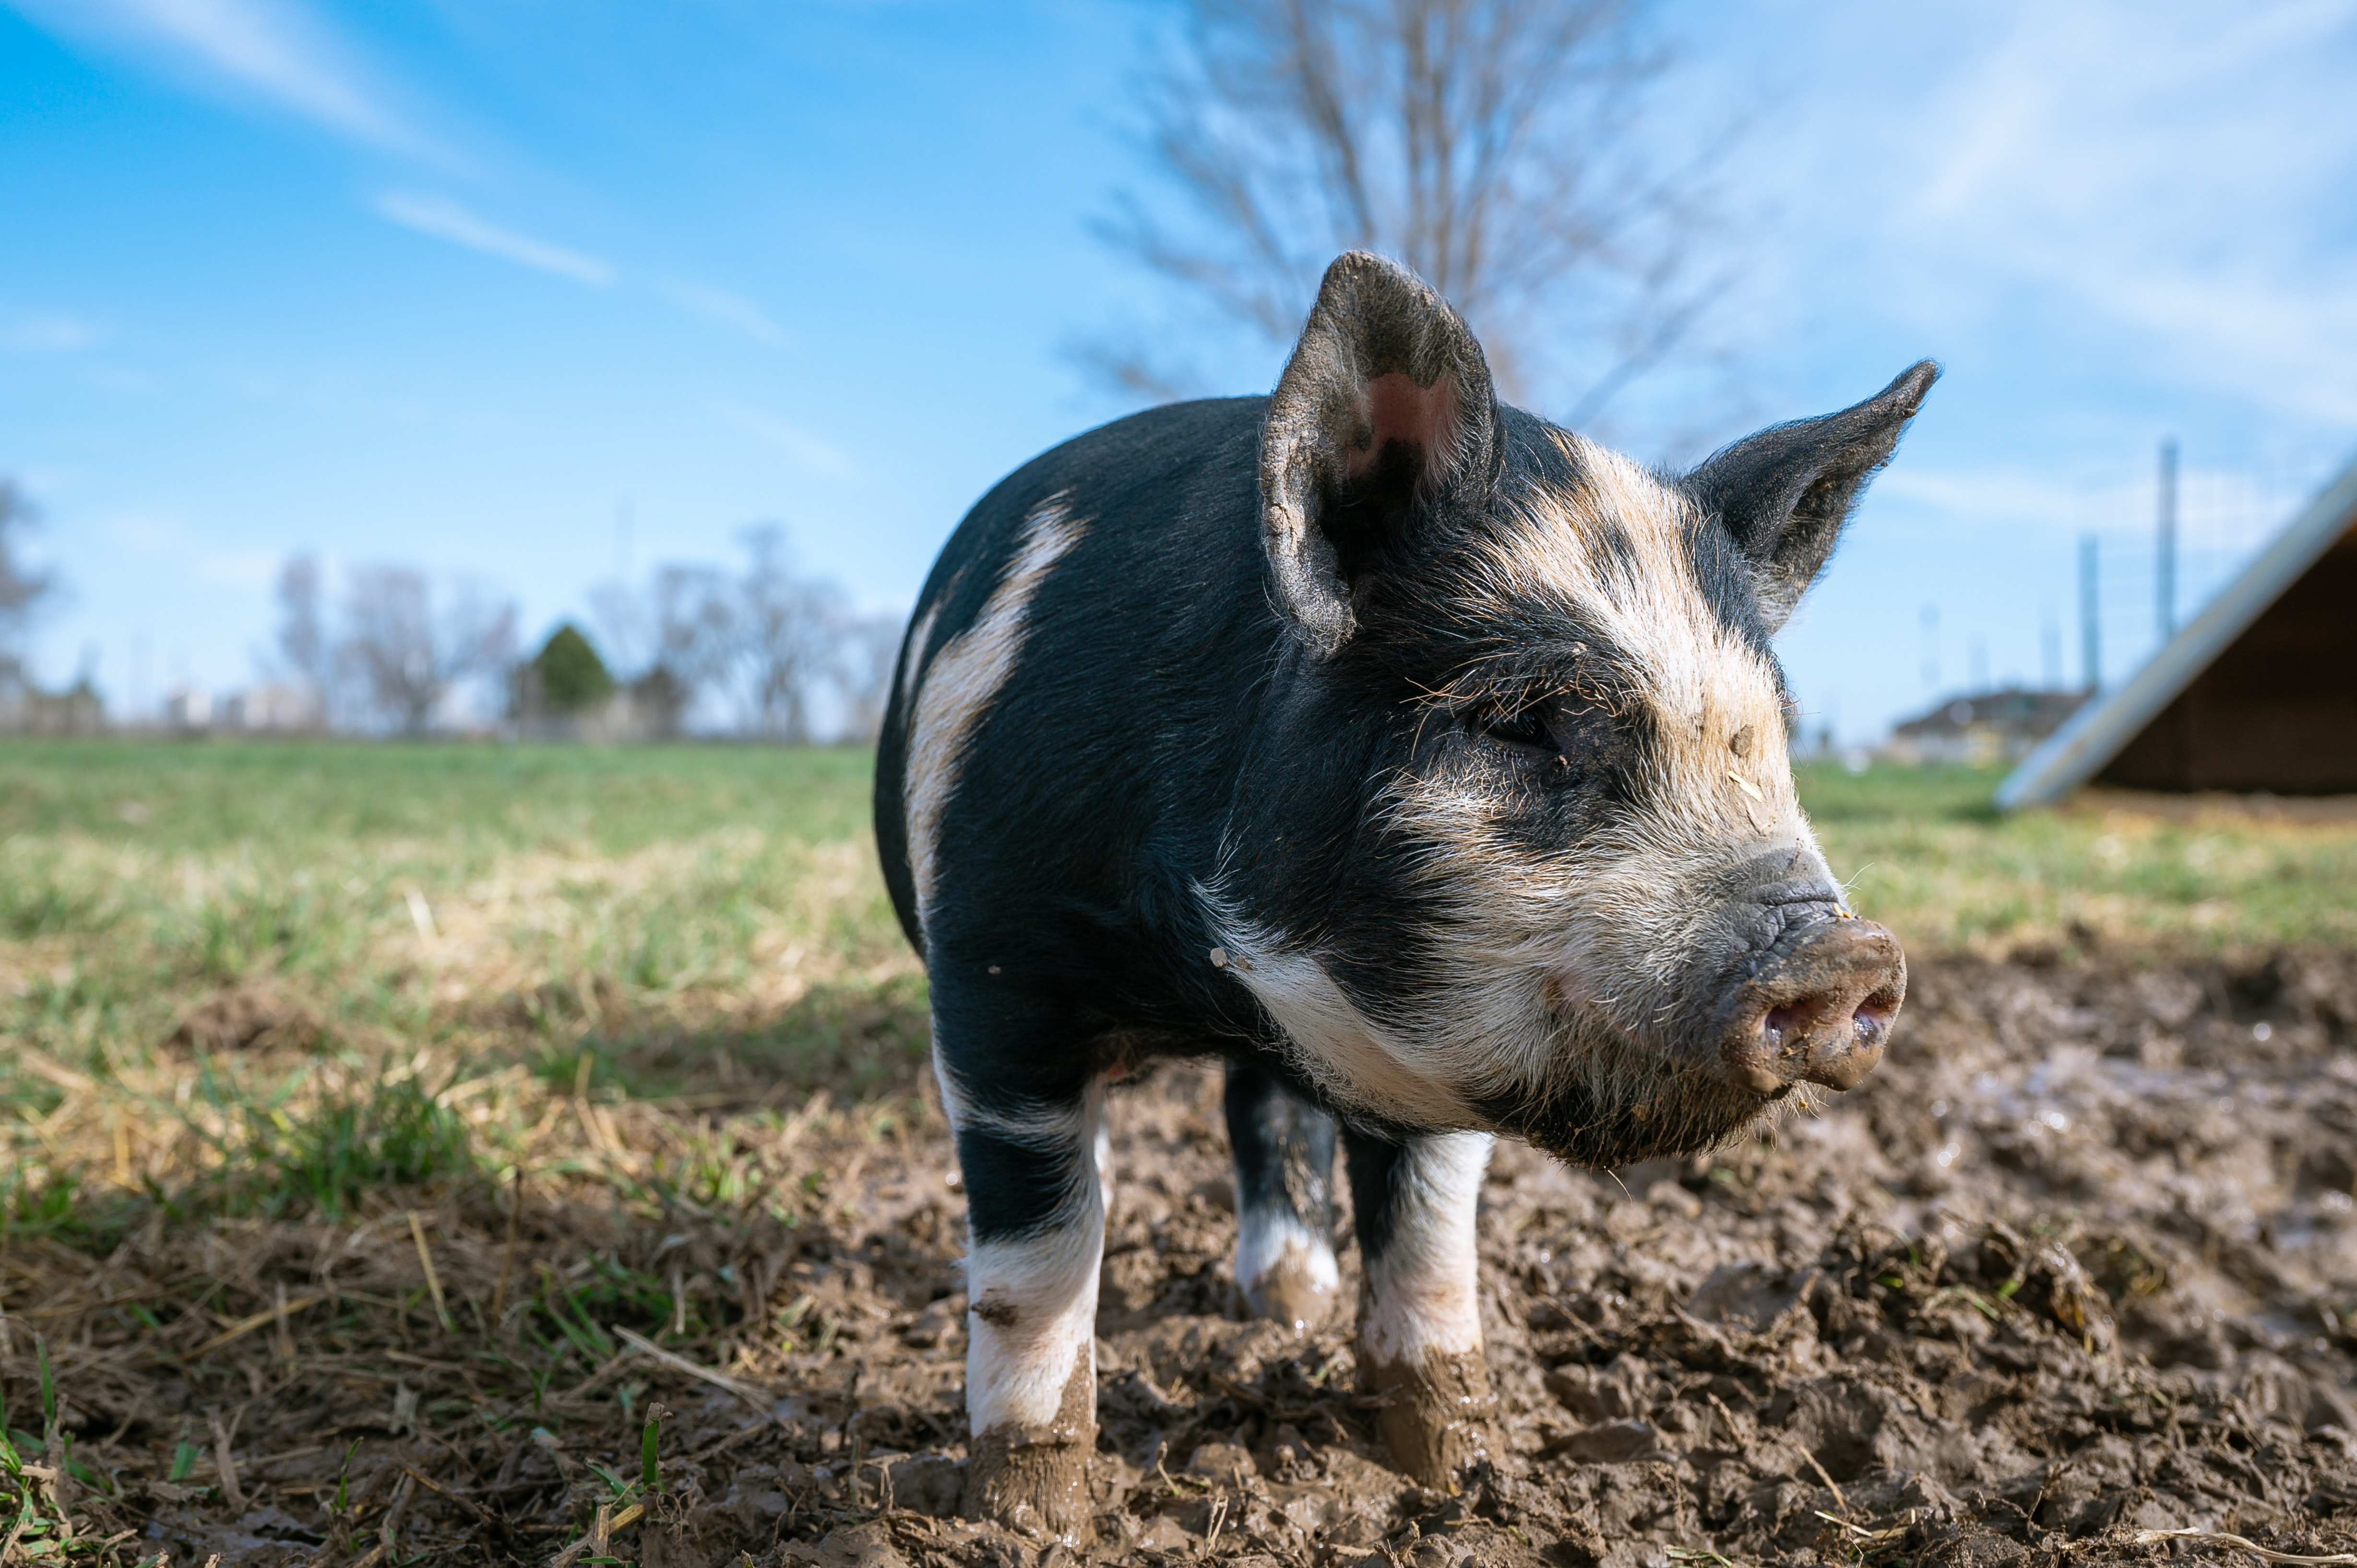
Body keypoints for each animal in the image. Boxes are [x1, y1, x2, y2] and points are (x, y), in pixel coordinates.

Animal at [872, 251, 1932, 1537]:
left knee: (1264, 1106)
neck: (1212, 968)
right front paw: (1031, 1514)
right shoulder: (993, 967)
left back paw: (1287, 1299)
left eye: (1767, 734)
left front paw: (1453, 1468)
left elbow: (1427, 1231)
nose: (1841, 953)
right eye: (1525, 719)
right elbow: (1037, 1249)